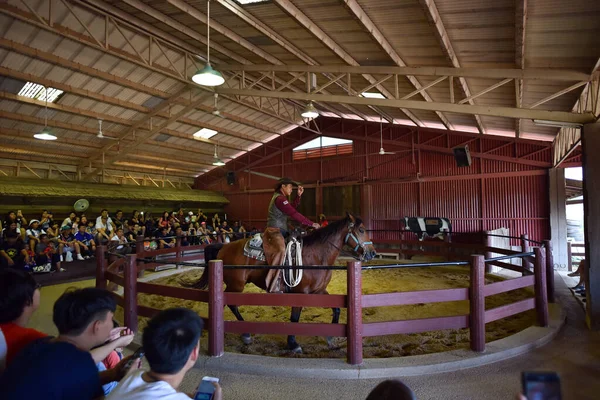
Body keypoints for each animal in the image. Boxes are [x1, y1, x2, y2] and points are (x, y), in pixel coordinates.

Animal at [189, 212, 376, 354]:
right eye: (361, 230)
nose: (372, 253)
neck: (316, 256)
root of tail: (223, 247)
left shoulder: (319, 291)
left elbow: (336, 309)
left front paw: (330, 338)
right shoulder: (300, 293)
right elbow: (294, 319)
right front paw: (293, 344)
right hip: (236, 285)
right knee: (230, 304)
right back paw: (244, 333)